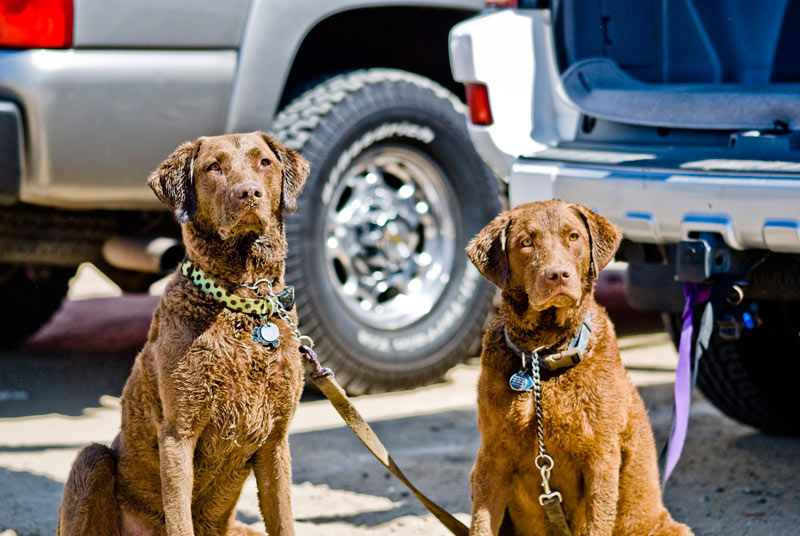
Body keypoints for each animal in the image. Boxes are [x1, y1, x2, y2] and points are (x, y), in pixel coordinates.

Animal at [57, 131, 310, 536]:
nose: (250, 193)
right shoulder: (178, 434)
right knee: (93, 459)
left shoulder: (275, 440)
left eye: (265, 162)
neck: (240, 303)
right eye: (214, 167)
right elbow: (179, 519)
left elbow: (283, 520)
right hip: (92, 460)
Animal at [466, 201, 692, 536]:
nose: (558, 275)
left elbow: (598, 521)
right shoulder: (492, 458)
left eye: (573, 236)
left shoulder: (601, 457)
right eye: (526, 242)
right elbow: (481, 525)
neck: (542, 358)